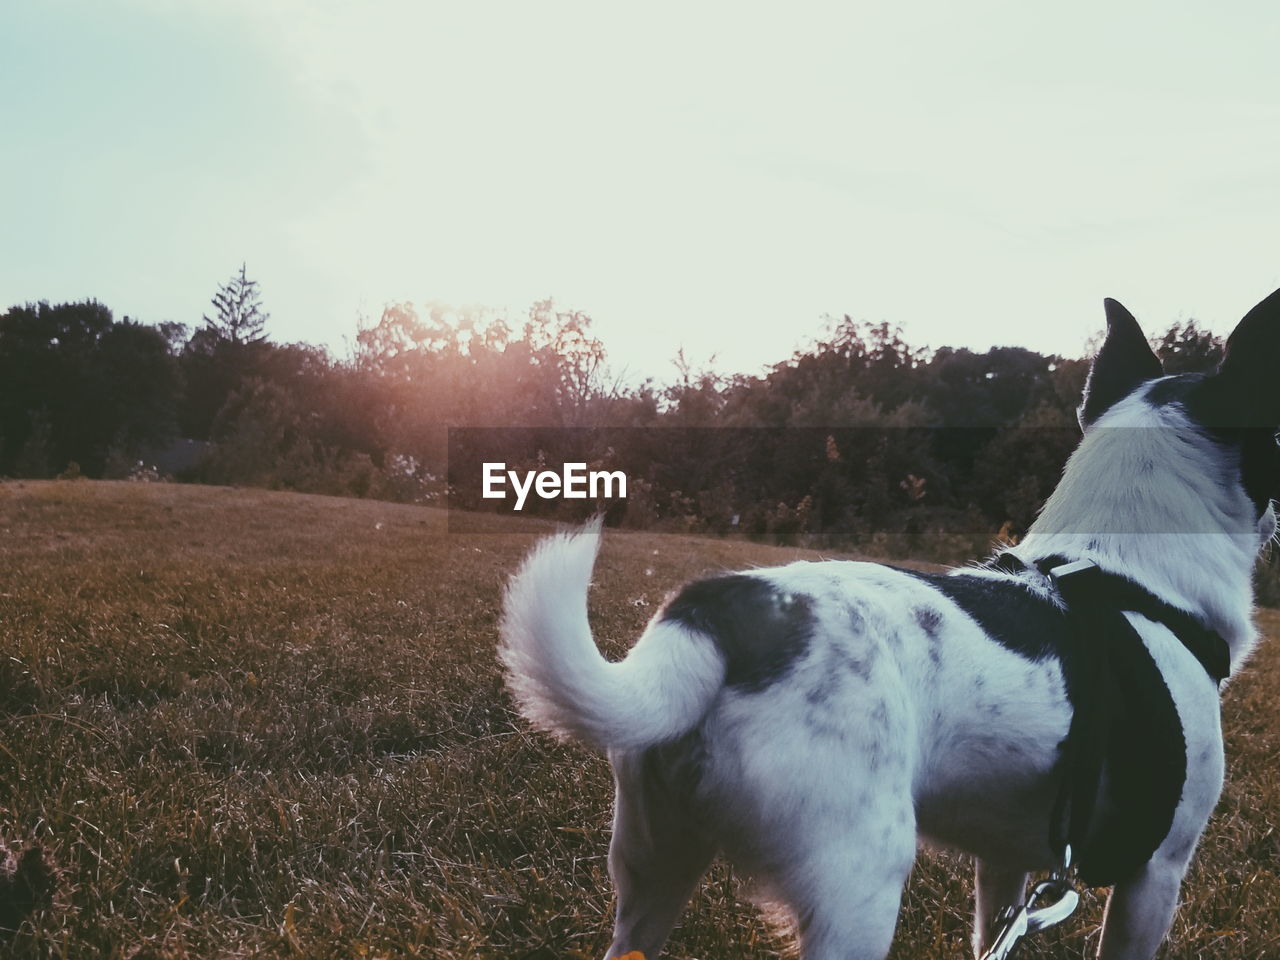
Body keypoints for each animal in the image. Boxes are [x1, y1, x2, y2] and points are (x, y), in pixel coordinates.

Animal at [499, 289, 1280, 957]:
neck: (1124, 573)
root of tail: (721, 614)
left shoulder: (1004, 865)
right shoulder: (1156, 875)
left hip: (653, 862)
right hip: (858, 889)